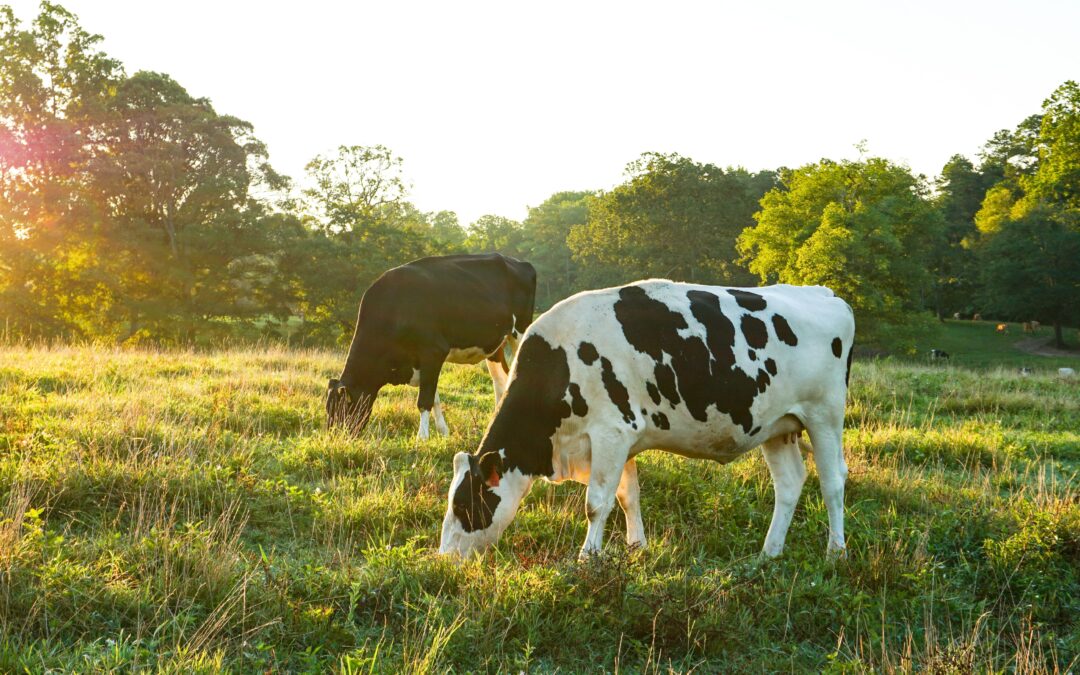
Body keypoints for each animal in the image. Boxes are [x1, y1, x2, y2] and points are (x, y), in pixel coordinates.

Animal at [327, 253, 536, 439]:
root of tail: (520, 263)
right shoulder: (424, 362)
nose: (334, 438)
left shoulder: (433, 352)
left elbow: (424, 400)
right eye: (328, 410)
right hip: (494, 344)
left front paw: (422, 437)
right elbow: (434, 397)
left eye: (340, 410)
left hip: (520, 332)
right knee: (501, 380)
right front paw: (443, 432)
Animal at [439, 280, 854, 561]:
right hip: (777, 426)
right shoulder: (622, 439)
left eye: (464, 506)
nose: (444, 559)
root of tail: (823, 294)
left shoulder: (609, 433)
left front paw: (587, 558)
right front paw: (636, 546)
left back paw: (835, 551)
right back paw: (769, 553)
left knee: (833, 481)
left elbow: (596, 502)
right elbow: (627, 496)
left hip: (825, 413)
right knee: (789, 483)